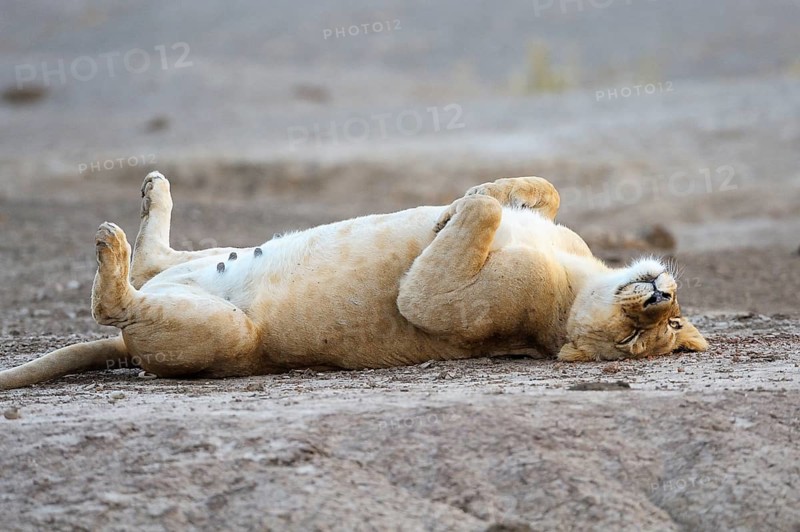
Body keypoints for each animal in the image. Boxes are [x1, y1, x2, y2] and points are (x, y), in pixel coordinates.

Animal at [0, 172, 707, 390]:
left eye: (638, 341)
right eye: (668, 323)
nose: (660, 295)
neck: (580, 279)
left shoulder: (433, 302)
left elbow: (469, 226)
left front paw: (462, 205)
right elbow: (543, 190)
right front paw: (486, 194)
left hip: (226, 335)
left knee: (117, 303)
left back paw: (111, 246)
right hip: (202, 263)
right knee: (156, 261)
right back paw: (151, 193)